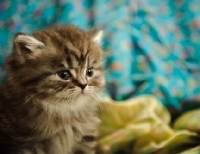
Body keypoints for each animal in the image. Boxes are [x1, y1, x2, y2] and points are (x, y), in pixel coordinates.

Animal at [0, 24, 105, 153]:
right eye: (64, 75)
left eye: (89, 72)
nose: (83, 85)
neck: (65, 114)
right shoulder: (24, 145)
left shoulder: (85, 138)